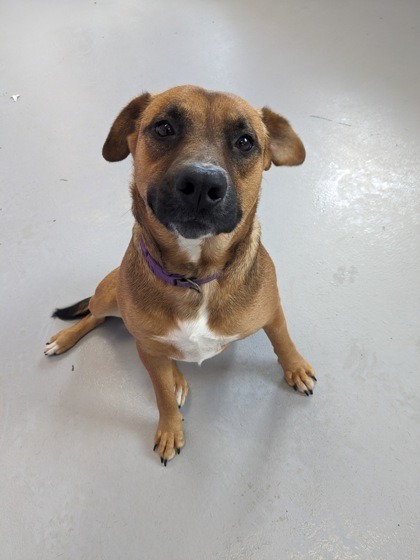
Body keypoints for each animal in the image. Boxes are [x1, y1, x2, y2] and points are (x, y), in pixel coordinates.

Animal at [45, 84, 316, 464]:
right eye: (163, 128)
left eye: (245, 141)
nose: (202, 183)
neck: (196, 279)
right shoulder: (148, 347)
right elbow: (160, 395)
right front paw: (170, 429)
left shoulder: (272, 311)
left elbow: (283, 341)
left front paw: (296, 368)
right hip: (110, 297)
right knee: (97, 318)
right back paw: (68, 339)